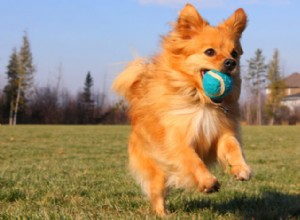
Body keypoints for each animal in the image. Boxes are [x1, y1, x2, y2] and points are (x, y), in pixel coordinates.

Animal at [112, 3, 251, 217]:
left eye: (234, 53)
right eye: (209, 52)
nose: (231, 63)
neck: (202, 102)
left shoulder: (222, 133)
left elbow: (234, 146)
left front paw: (241, 168)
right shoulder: (178, 140)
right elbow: (193, 160)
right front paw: (207, 182)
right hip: (157, 171)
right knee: (157, 193)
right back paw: (162, 214)